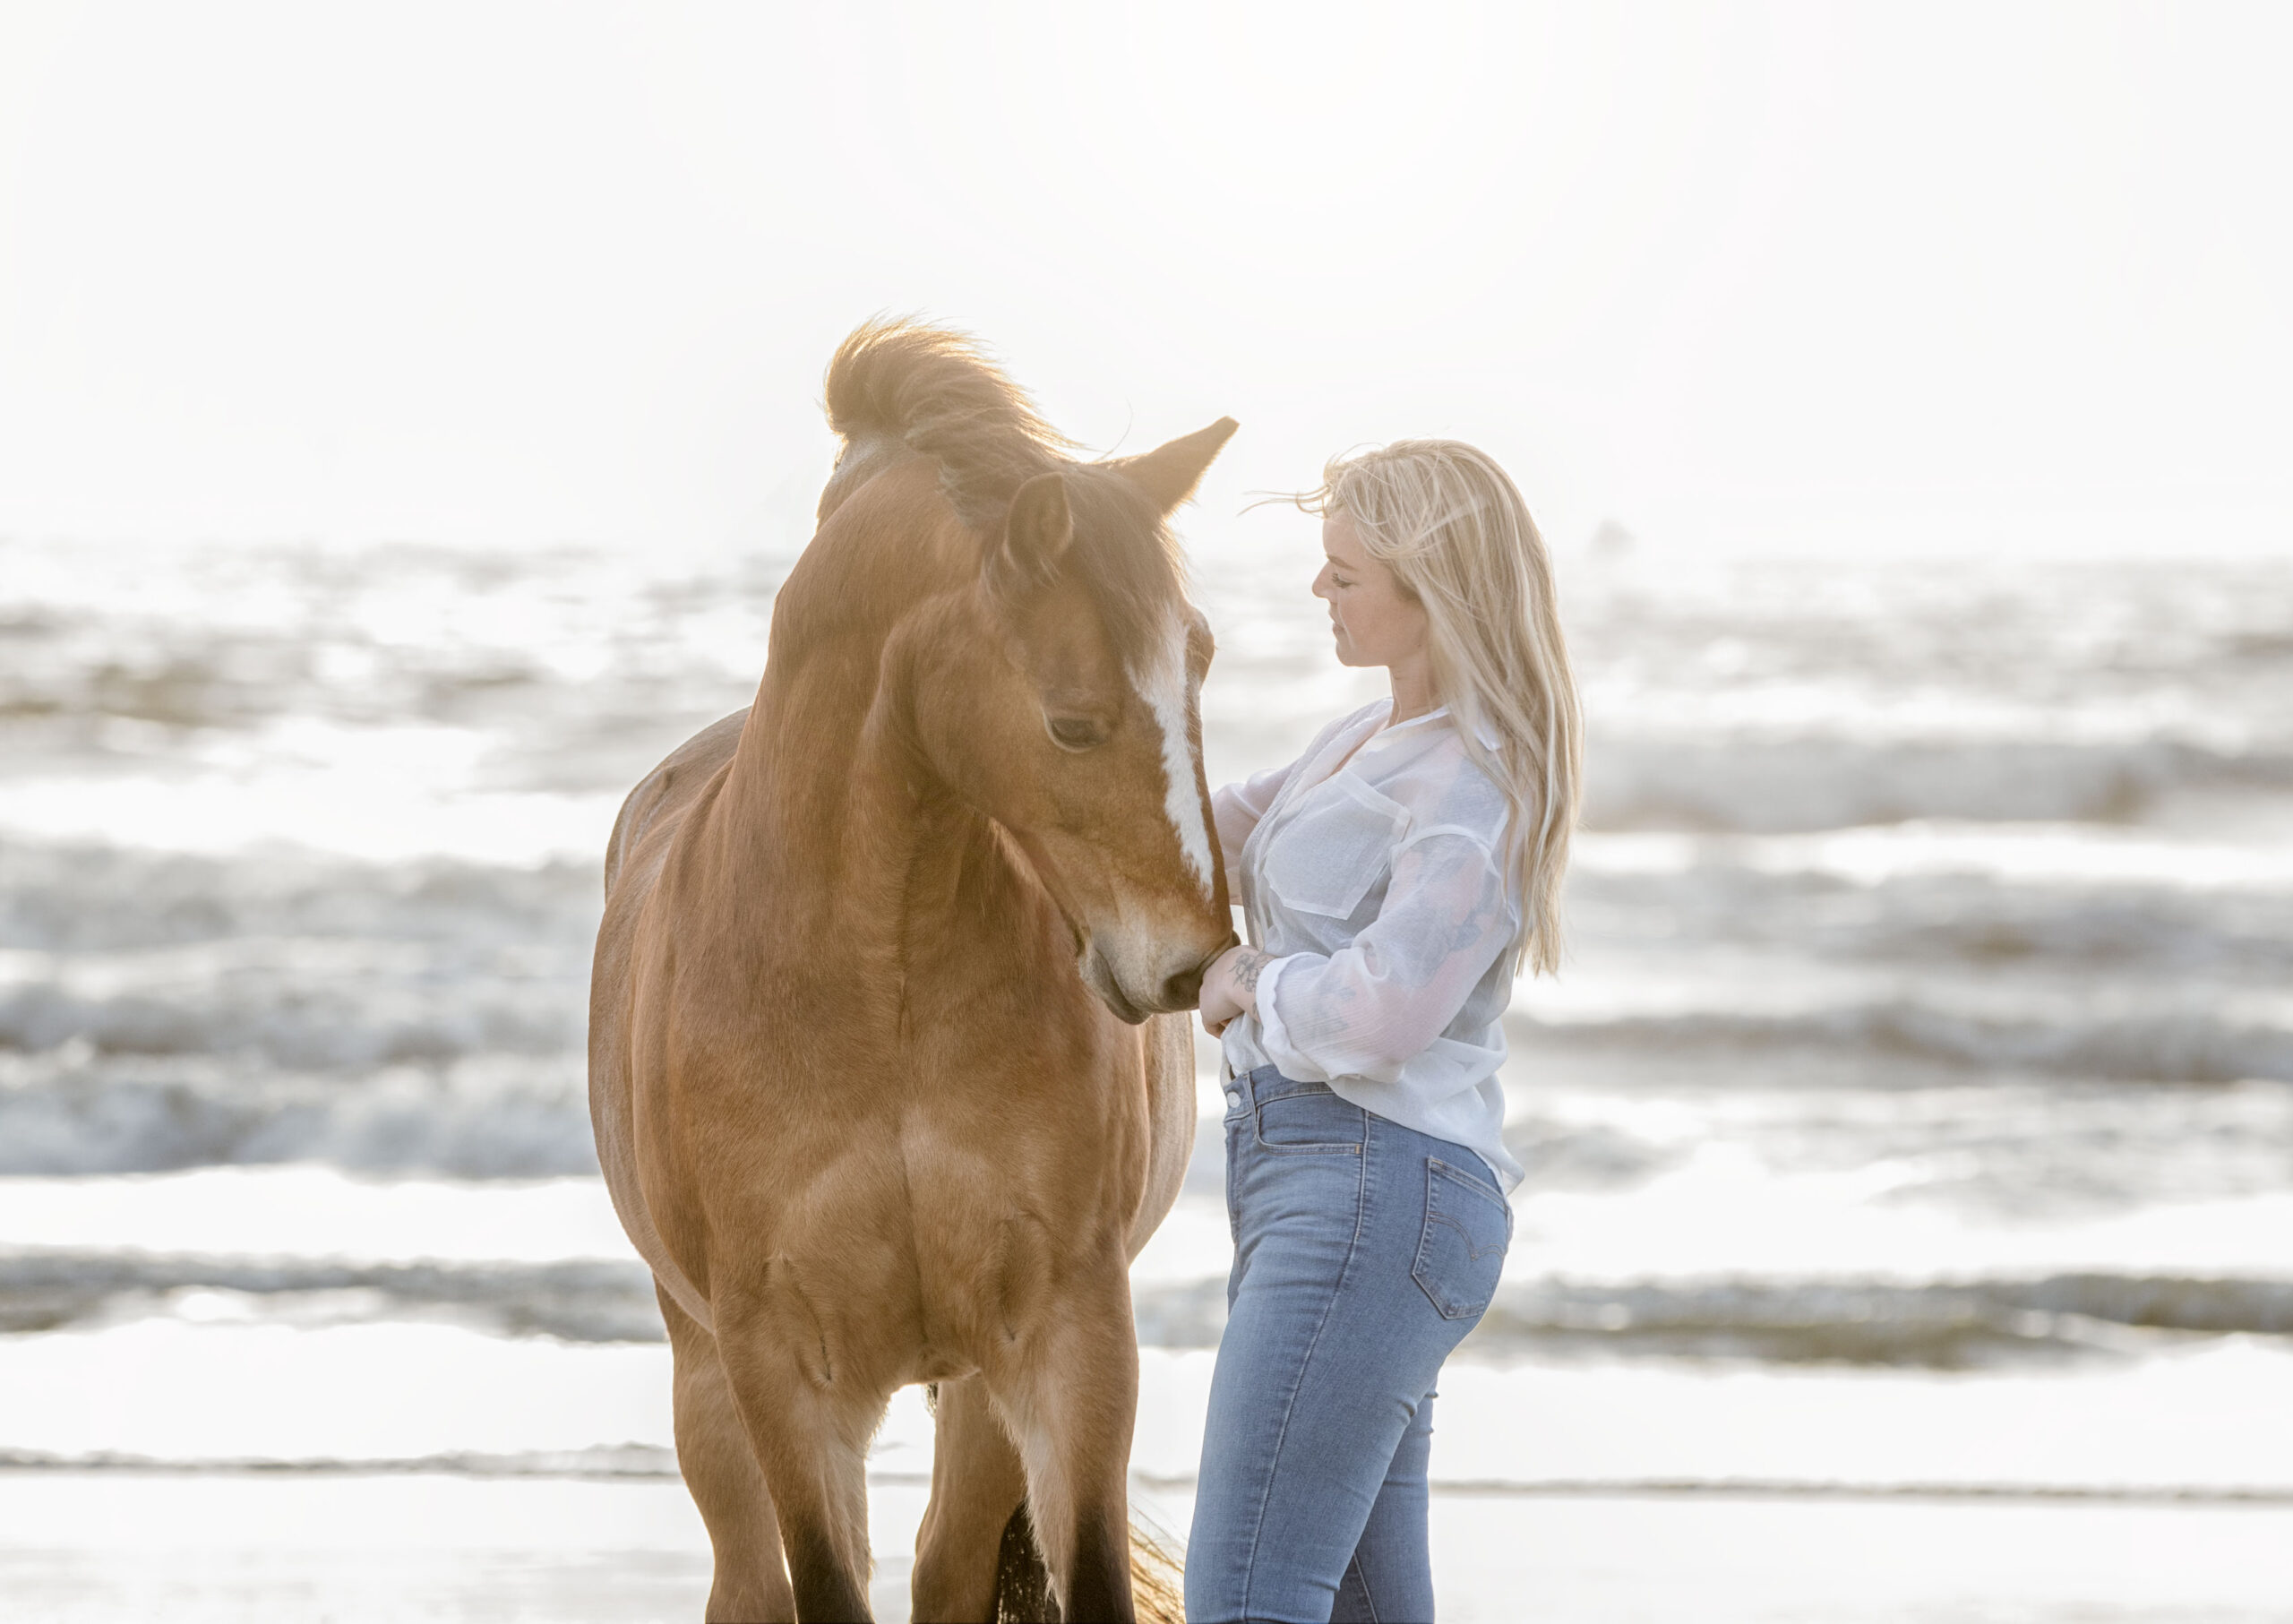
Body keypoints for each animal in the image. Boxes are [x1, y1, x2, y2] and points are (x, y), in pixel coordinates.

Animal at [589, 319, 1238, 1622]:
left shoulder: (1065, 1337)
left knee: (945, 1560)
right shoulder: (783, 1373)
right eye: (1074, 723)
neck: (878, 977)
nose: (1194, 965)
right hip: (703, 1378)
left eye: (1198, 665)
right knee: (750, 1582)